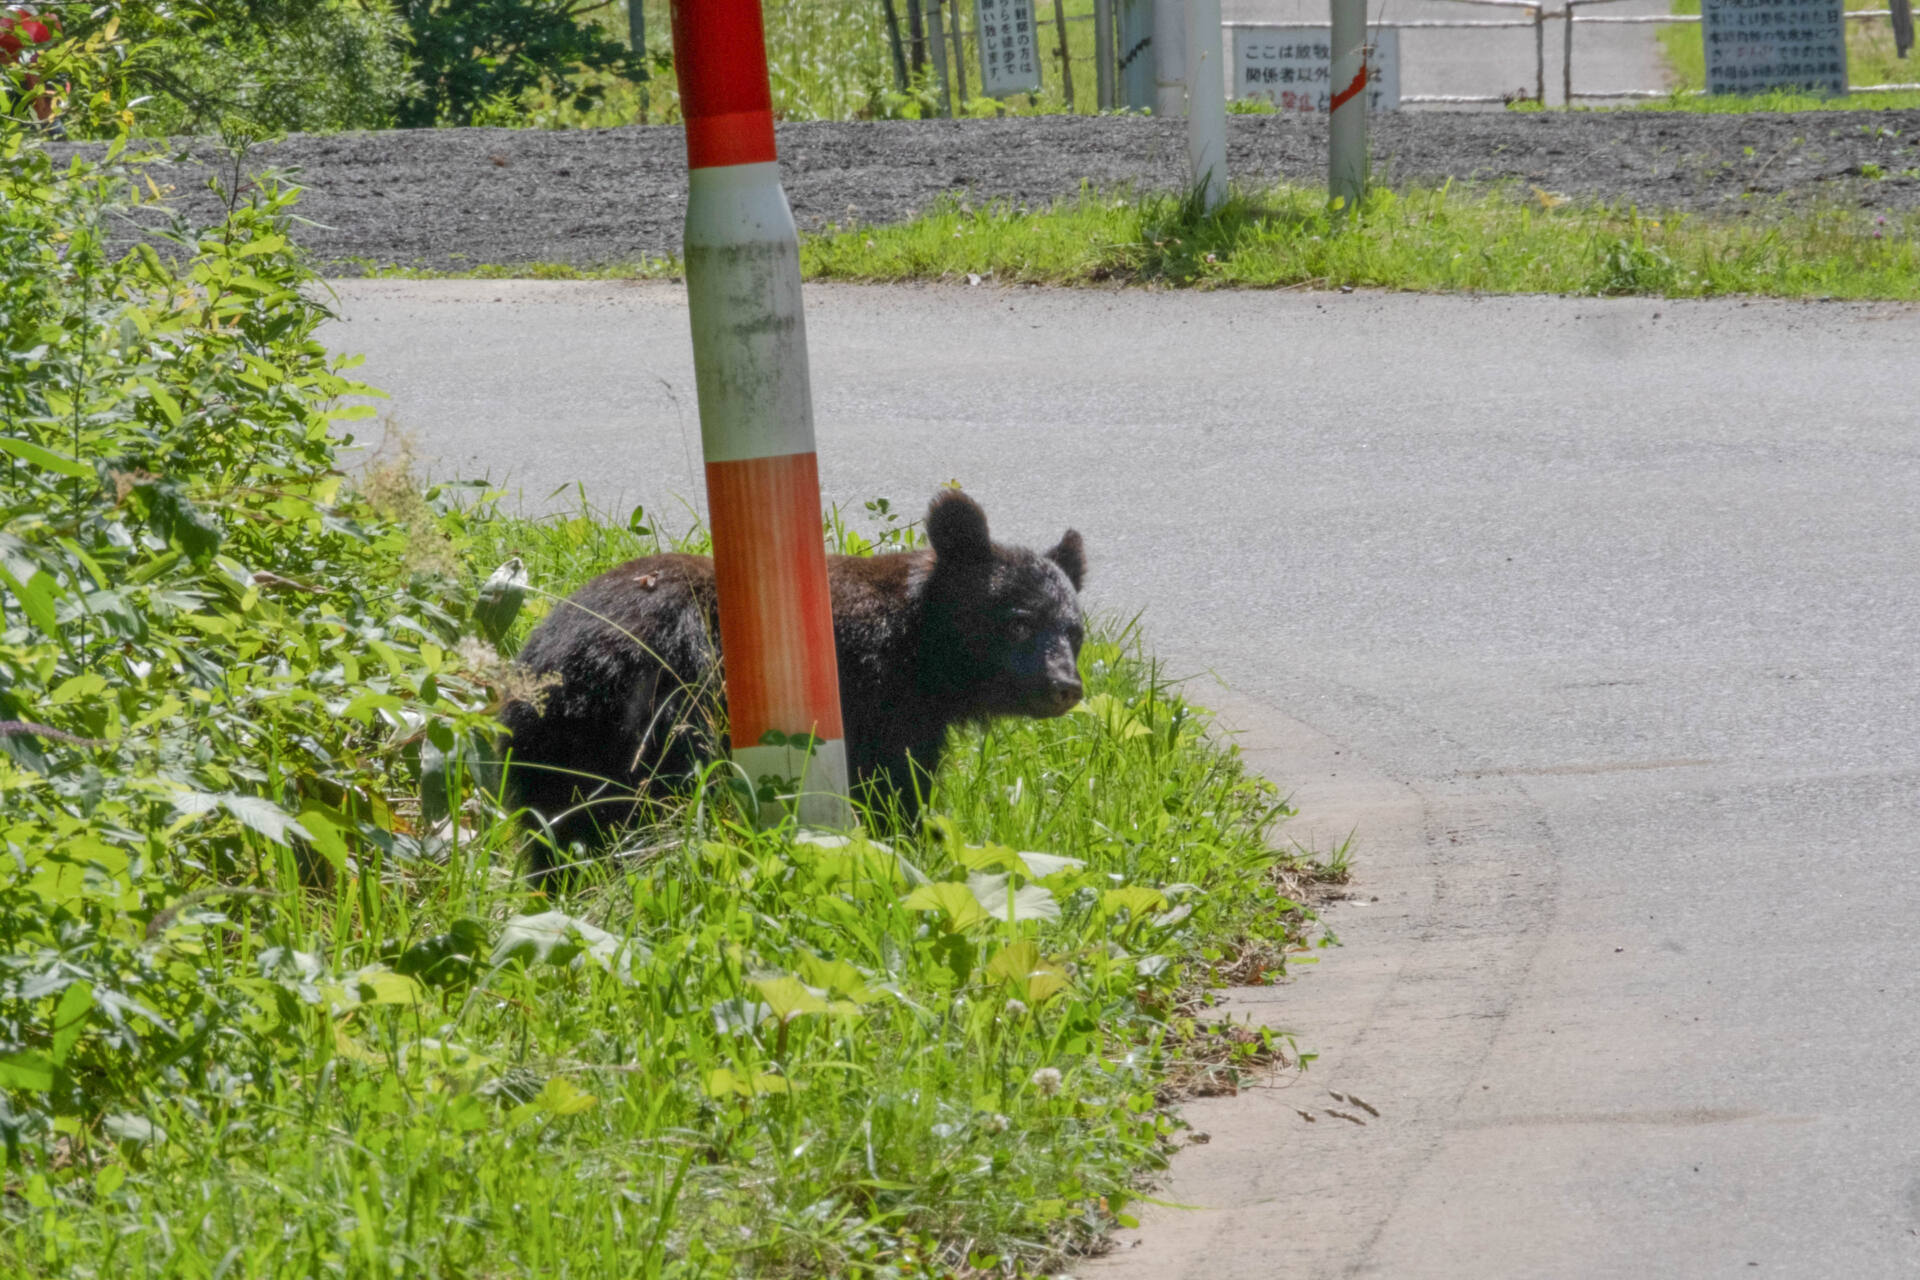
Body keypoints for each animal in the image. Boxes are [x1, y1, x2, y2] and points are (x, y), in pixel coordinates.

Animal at [503, 485, 1090, 875]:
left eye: (1074, 631)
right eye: (1018, 621)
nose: (1064, 686)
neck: (923, 651)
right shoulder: (878, 702)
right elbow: (889, 789)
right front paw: (908, 847)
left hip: (564, 757)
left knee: (562, 836)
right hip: (654, 714)